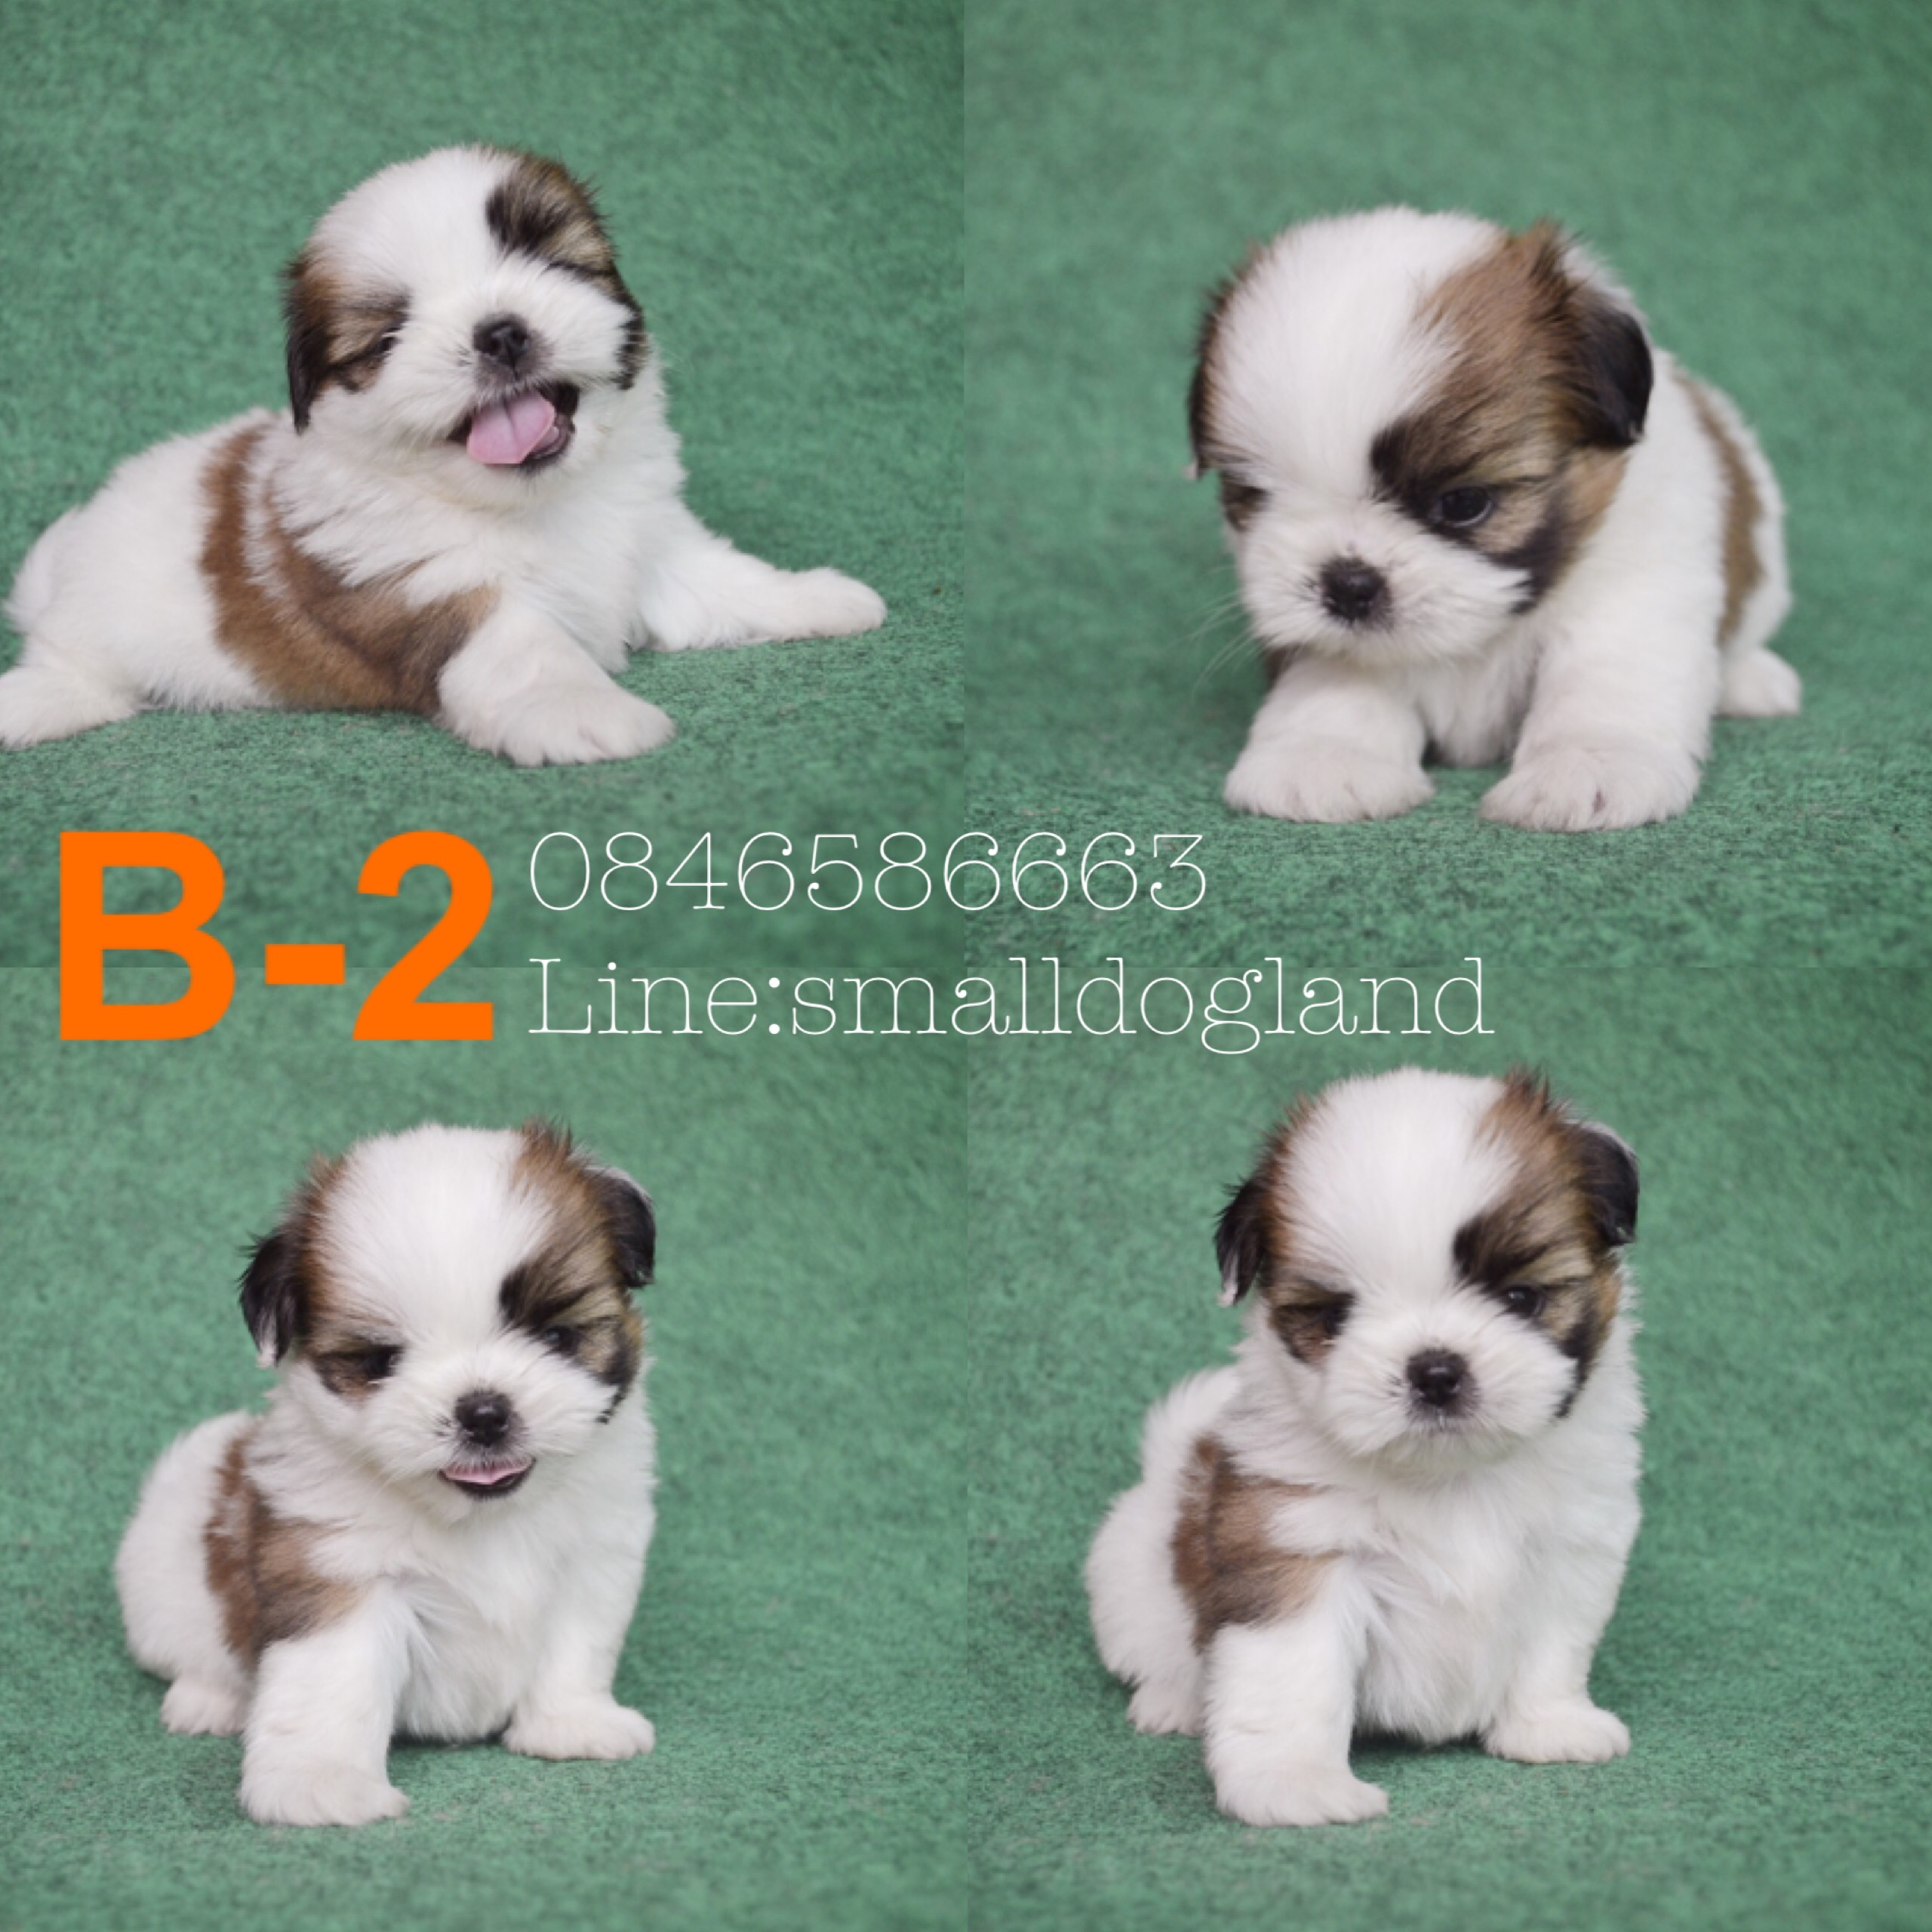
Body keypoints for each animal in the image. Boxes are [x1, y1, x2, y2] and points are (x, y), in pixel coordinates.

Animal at [0, 145, 885, 763]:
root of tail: (60, 579)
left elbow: (723, 582)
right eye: (390, 332)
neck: (535, 505)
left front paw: (819, 597)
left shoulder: (650, 545)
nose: (499, 333)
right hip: (95, 646)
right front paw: (590, 712)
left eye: (546, 258)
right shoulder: (428, 587)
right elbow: (526, 651)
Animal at [115, 1122, 659, 1826]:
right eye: (380, 1361)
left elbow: (576, 1644)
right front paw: (319, 1781)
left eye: (558, 1336)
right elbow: (333, 1679)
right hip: (162, 1578)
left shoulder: (594, 1557)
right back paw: (209, 1700)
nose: (484, 1413)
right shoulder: (340, 1567)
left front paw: (571, 1723)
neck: (478, 1517)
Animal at [1086, 1069, 1643, 1826]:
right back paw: (1173, 1701)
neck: (1448, 1476)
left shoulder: (1571, 1549)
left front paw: (1548, 1724)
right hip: (1134, 1587)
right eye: (1335, 1315)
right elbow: (1293, 1675)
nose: (1435, 1371)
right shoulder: (1299, 1547)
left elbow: (1551, 1645)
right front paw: (1293, 1783)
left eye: (1522, 1297)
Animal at [1189, 208, 1798, 830]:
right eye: (1254, 494)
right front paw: (1324, 757)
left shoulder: (1634, 589)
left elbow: (1605, 679)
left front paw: (1589, 766)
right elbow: (1339, 679)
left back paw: (1750, 681)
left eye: (1463, 503)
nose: (1348, 584)